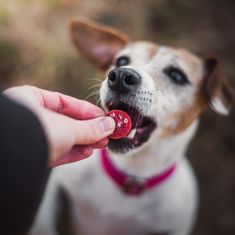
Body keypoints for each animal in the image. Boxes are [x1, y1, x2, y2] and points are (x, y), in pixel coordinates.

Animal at [29, 17, 233, 235]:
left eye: (177, 75)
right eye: (121, 61)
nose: (120, 75)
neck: (131, 173)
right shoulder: (56, 185)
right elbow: (44, 220)